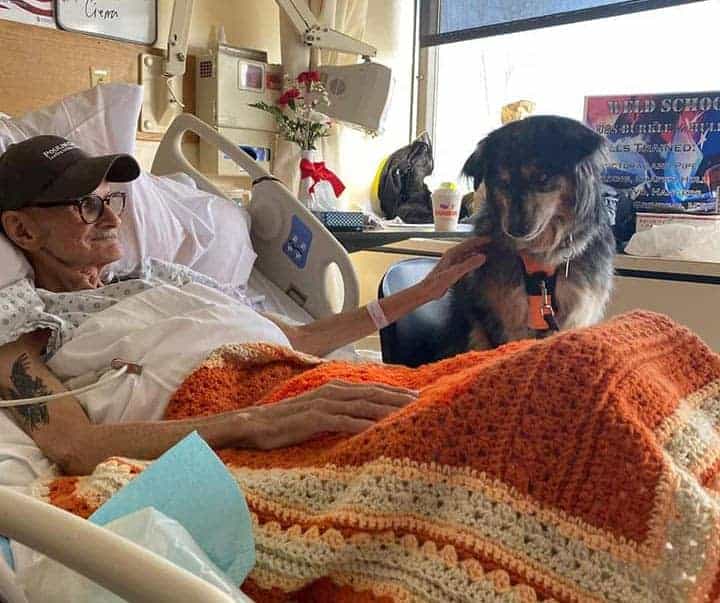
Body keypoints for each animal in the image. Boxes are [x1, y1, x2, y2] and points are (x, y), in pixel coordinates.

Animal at [444, 114, 612, 354]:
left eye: (542, 177)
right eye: (503, 182)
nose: (515, 230)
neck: (540, 255)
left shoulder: (577, 312)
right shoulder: (506, 316)